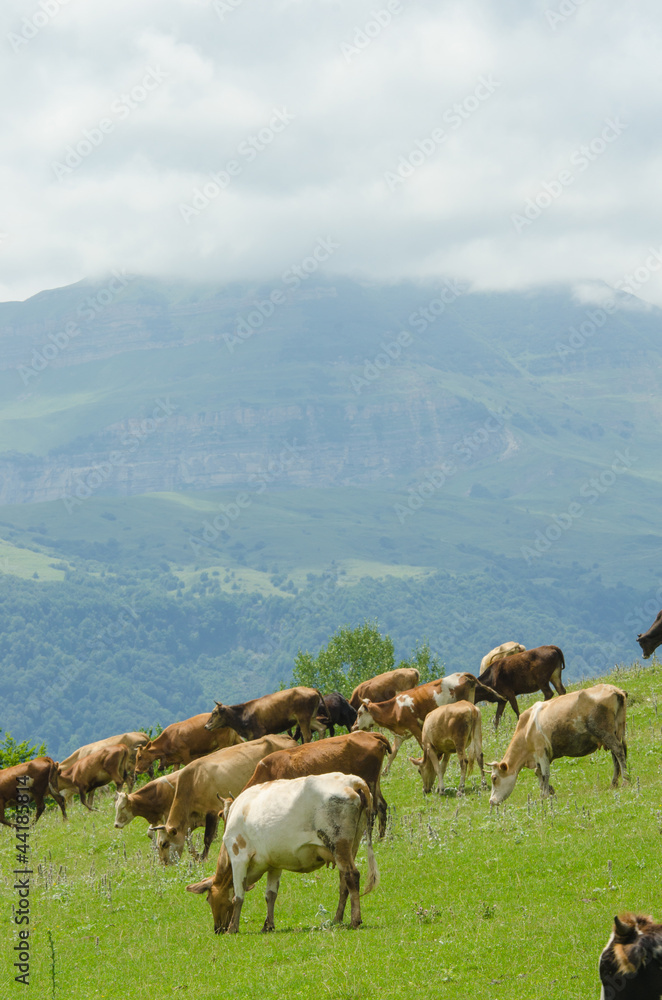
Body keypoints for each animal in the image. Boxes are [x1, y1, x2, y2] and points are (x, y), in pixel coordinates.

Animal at [152, 734, 296, 864]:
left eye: (164, 843)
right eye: (158, 846)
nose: (164, 864)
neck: (192, 782)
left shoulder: (212, 811)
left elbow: (207, 838)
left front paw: (203, 858)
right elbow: (189, 839)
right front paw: (196, 856)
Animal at [186, 772, 378, 934]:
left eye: (208, 898)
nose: (217, 929)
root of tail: (351, 780)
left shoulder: (238, 857)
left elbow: (238, 896)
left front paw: (233, 928)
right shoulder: (274, 863)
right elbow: (270, 895)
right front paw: (268, 925)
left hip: (339, 844)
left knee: (352, 876)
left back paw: (354, 920)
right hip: (351, 846)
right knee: (343, 883)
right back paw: (337, 919)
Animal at [242, 730, 391, 838]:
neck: (269, 770)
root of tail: (369, 734)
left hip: (368, 782)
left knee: (373, 810)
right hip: (375, 781)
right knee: (382, 806)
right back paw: (381, 837)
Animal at [488, 683, 628, 805]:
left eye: (494, 778)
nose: (491, 801)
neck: (526, 727)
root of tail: (614, 689)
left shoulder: (541, 750)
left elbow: (545, 774)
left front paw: (544, 794)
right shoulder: (539, 756)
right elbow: (538, 773)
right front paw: (548, 790)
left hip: (605, 732)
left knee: (619, 751)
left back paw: (625, 781)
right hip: (616, 731)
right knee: (616, 756)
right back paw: (614, 783)